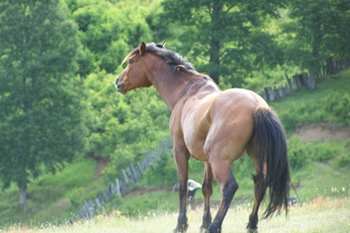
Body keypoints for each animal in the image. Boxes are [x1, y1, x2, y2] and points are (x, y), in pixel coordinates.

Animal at [115, 42, 290, 233]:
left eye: (131, 62)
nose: (117, 82)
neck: (187, 91)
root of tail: (257, 106)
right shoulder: (207, 159)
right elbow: (207, 188)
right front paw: (204, 222)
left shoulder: (180, 150)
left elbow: (183, 187)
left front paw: (182, 224)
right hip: (256, 158)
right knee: (260, 185)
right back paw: (251, 224)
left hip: (220, 161)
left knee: (229, 187)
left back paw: (216, 226)